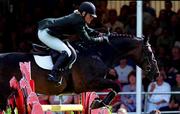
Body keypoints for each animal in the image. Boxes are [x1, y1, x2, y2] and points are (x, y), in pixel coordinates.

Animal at [0, 33, 159, 111]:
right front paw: (97, 104)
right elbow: (116, 86)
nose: (156, 74)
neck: (97, 54)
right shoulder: (90, 83)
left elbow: (114, 87)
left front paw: (96, 103)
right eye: (150, 52)